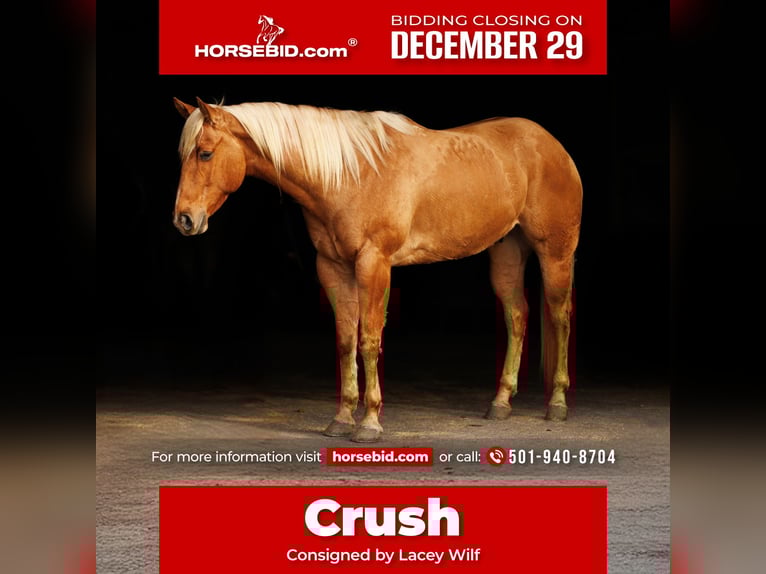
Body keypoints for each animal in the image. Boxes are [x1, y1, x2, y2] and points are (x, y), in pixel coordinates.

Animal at [171, 97, 582, 442]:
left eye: (205, 153)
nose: (185, 220)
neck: (348, 174)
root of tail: (552, 145)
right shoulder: (333, 268)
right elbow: (345, 341)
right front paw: (341, 419)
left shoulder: (374, 264)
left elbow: (369, 340)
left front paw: (369, 423)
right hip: (506, 254)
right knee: (518, 316)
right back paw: (501, 402)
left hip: (556, 253)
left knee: (560, 316)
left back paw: (557, 404)